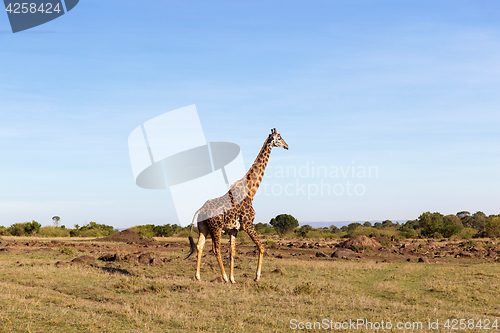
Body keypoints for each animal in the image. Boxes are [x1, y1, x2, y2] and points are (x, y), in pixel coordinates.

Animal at [186, 128, 290, 282]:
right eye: (279, 138)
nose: (287, 146)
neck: (251, 193)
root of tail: (200, 210)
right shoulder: (248, 224)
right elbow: (261, 247)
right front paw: (256, 277)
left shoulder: (234, 229)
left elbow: (232, 253)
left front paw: (233, 279)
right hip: (216, 227)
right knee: (215, 249)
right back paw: (223, 277)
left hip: (203, 227)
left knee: (199, 246)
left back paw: (198, 276)